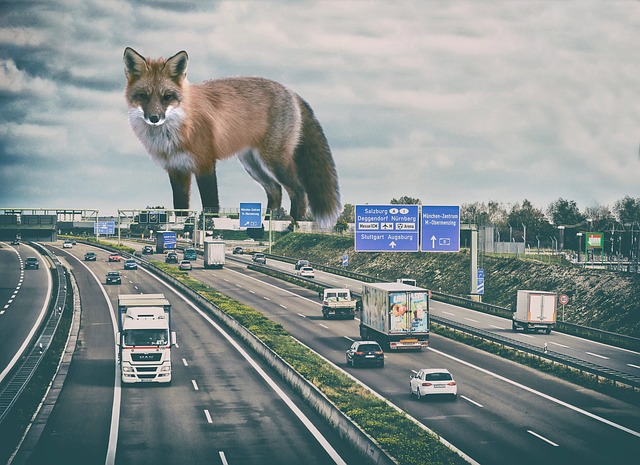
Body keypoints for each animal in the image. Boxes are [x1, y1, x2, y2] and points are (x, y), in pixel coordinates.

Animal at [123, 47, 341, 228]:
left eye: (167, 97)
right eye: (143, 96)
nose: (154, 118)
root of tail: (292, 91)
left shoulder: (205, 164)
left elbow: (211, 203)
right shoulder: (176, 169)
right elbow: (180, 208)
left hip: (275, 162)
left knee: (298, 190)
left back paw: (292, 225)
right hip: (252, 164)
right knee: (275, 190)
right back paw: (264, 223)